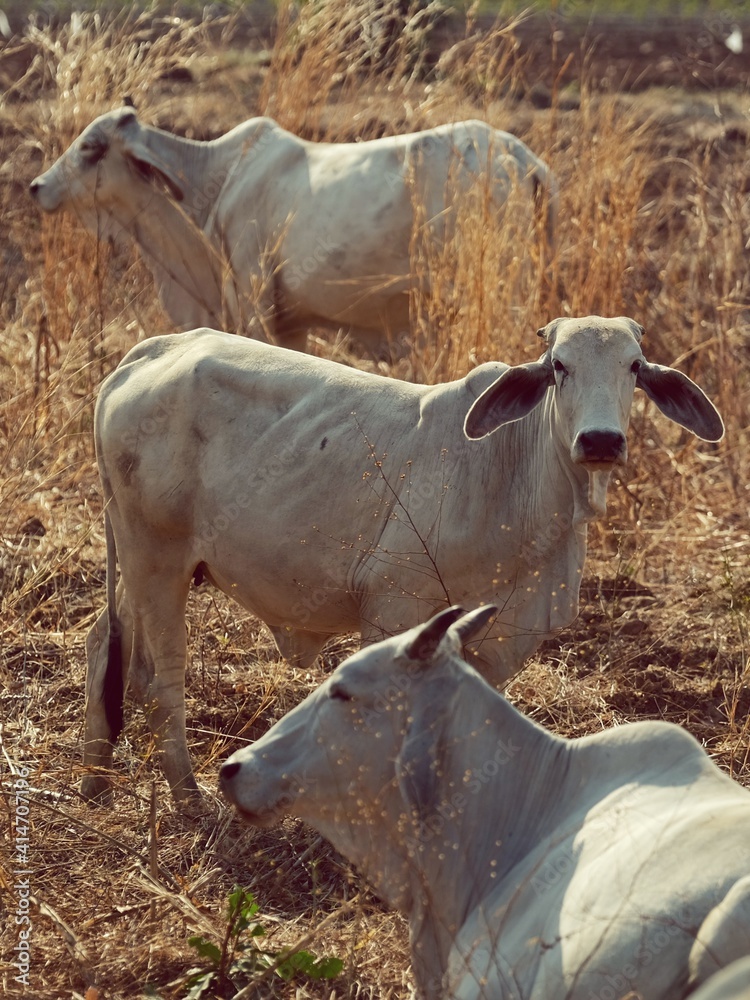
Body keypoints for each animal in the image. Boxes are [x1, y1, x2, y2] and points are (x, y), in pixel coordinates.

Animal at [81, 318, 724, 804]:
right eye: (559, 365)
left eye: (634, 367)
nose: (600, 441)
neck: (512, 474)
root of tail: (149, 351)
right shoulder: (394, 610)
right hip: (157, 560)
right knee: (158, 680)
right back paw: (189, 798)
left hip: (137, 563)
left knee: (105, 645)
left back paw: (95, 780)